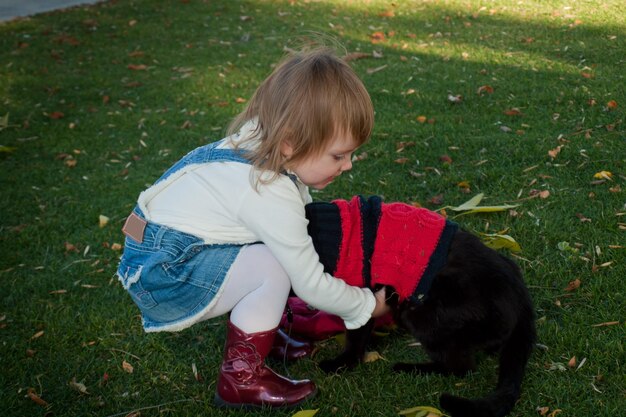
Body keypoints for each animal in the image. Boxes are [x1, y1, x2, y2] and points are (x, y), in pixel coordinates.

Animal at [304, 196, 532, 416]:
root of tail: (522, 296)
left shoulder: (361, 292)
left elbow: (355, 336)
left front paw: (340, 364)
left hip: (429, 314)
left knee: (461, 368)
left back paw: (408, 367)